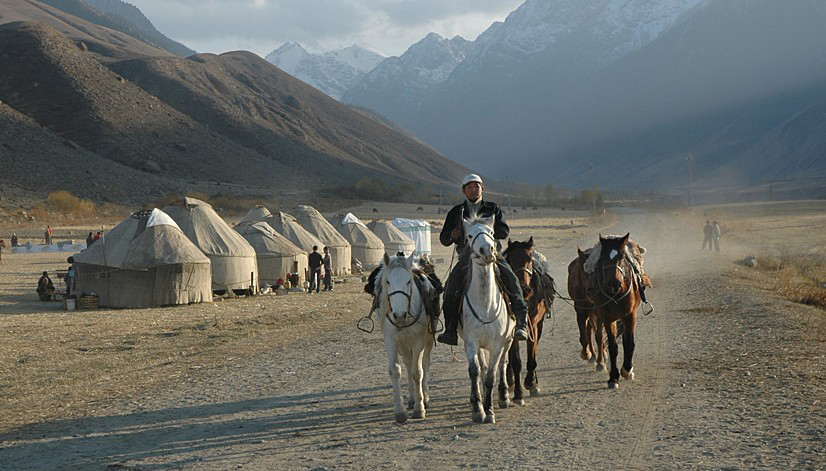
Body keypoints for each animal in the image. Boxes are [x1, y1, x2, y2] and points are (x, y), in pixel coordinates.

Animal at [374, 254, 434, 424]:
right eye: (388, 282)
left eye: (409, 281)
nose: (399, 315)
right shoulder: (391, 339)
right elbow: (395, 370)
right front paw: (400, 412)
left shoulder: (419, 340)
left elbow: (417, 372)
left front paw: (420, 409)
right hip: (403, 344)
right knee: (407, 363)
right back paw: (412, 399)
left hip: (427, 339)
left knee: (424, 363)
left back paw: (425, 398)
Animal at [458, 217, 516, 424]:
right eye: (469, 235)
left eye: (491, 232)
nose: (487, 250)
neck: (485, 304)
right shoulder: (471, 341)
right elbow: (475, 371)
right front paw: (478, 409)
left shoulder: (497, 343)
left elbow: (491, 374)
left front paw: (489, 410)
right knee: (482, 368)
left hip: (509, 340)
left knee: (502, 364)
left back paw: (504, 396)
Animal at [498, 240, 552, 406]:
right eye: (510, 260)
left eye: (529, 260)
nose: (524, 289)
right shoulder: (513, 330)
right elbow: (515, 361)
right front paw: (518, 394)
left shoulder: (533, 325)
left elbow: (532, 353)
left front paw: (531, 382)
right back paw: (510, 382)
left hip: (539, 325)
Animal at [584, 233, 644, 390]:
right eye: (604, 259)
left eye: (622, 257)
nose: (614, 283)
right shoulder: (607, 318)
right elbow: (613, 346)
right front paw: (613, 377)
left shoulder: (630, 316)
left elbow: (629, 342)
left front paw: (627, 370)